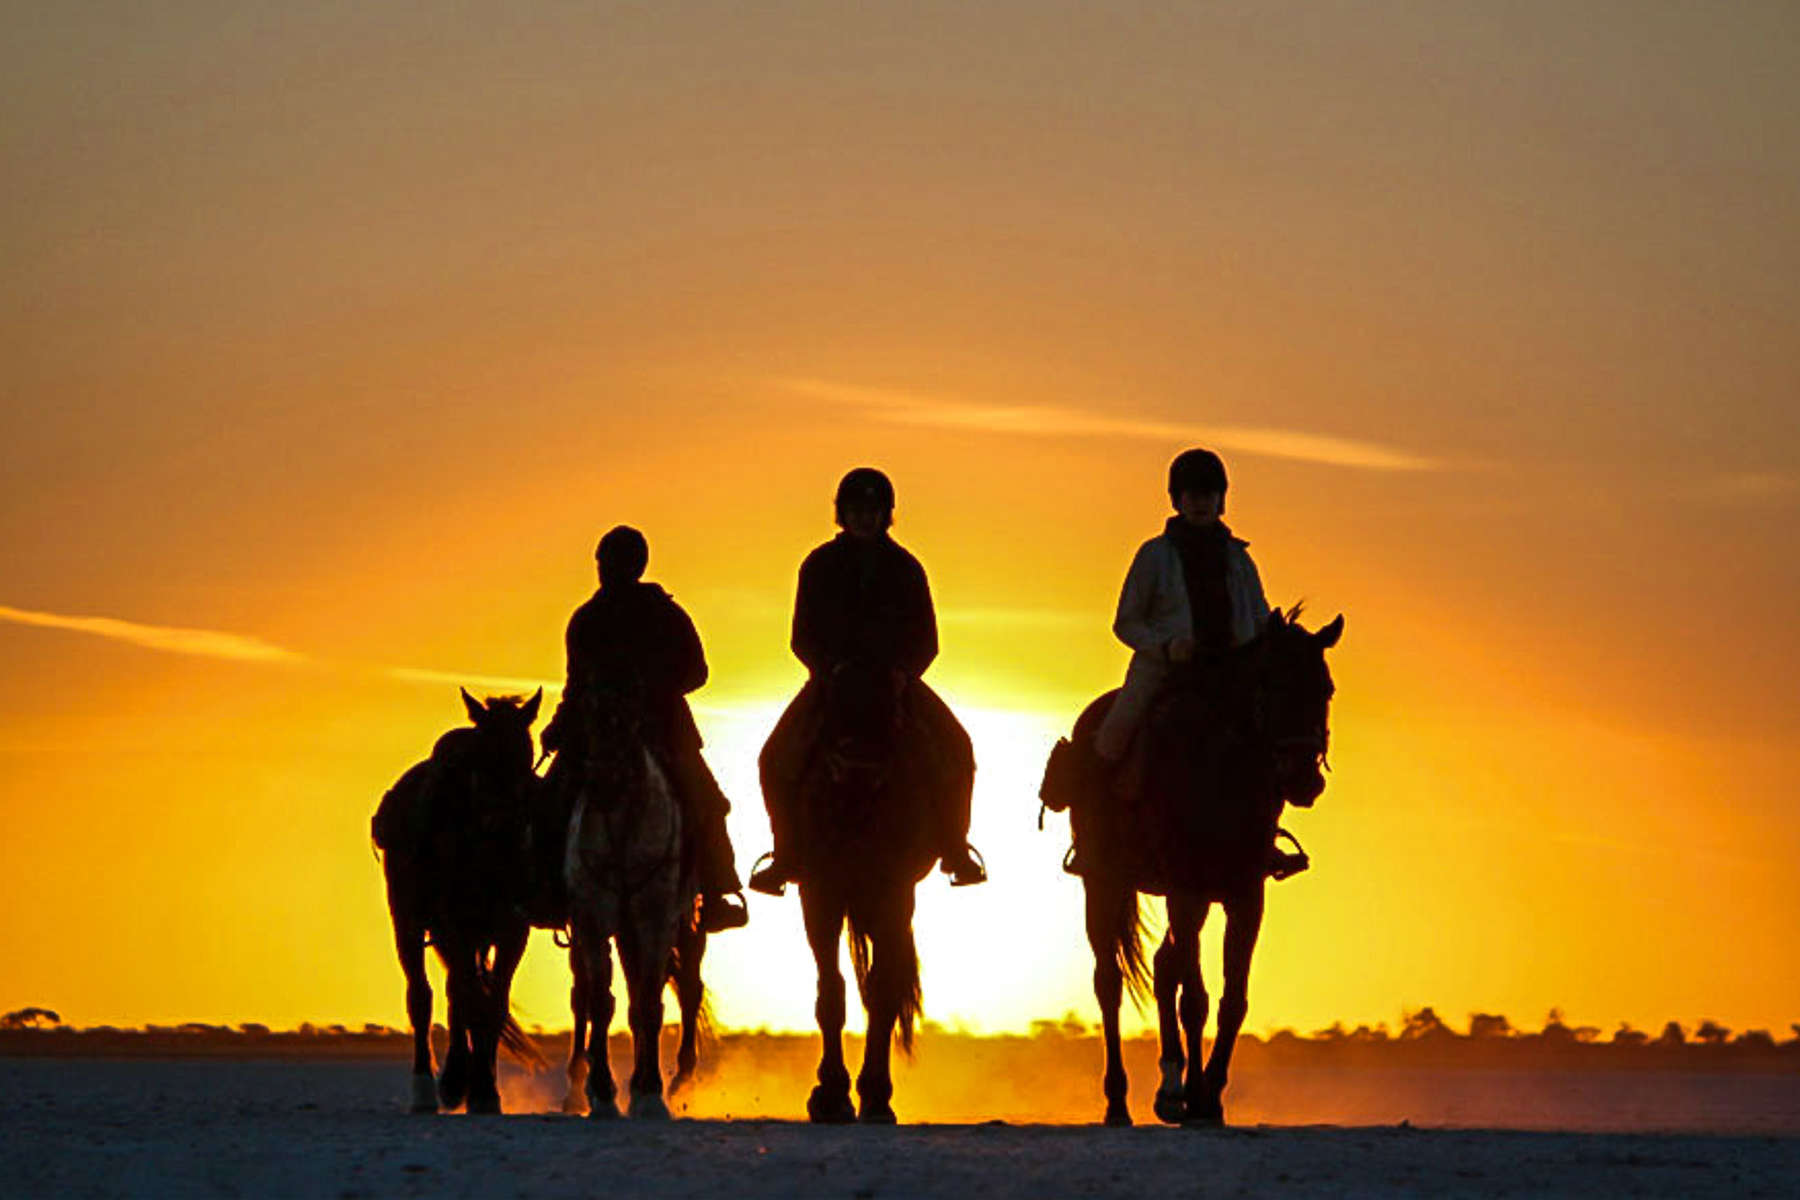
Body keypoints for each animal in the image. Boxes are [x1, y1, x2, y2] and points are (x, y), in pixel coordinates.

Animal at [369, 690, 543, 1122]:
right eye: (482, 757)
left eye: (525, 752)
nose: (505, 824)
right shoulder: (454, 926)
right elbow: (468, 999)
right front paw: (473, 1087)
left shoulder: (511, 931)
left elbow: (491, 1005)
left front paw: (485, 1089)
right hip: (409, 924)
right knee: (422, 996)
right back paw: (428, 1090)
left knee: (458, 993)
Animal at [558, 683, 691, 1129]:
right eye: (583, 708)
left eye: (631, 711)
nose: (602, 782)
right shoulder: (592, 919)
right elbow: (600, 1001)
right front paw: (602, 1093)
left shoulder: (654, 920)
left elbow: (649, 1003)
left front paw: (649, 1094)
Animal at [781, 665, 964, 1129]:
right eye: (833, 698)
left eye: (893, 703)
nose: (858, 772)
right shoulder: (820, 890)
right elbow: (830, 992)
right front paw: (830, 1096)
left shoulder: (893, 890)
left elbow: (882, 992)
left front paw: (876, 1097)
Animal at [1065, 611, 1339, 1129]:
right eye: (1269, 681)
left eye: (1326, 688)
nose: (1303, 778)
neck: (1222, 774)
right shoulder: (1186, 891)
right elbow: (1195, 1000)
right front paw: (1197, 1096)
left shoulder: (1244, 898)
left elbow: (1233, 1001)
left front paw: (1208, 1098)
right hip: (1105, 883)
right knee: (1109, 982)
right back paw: (1119, 1102)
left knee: (1162, 966)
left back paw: (1169, 1091)